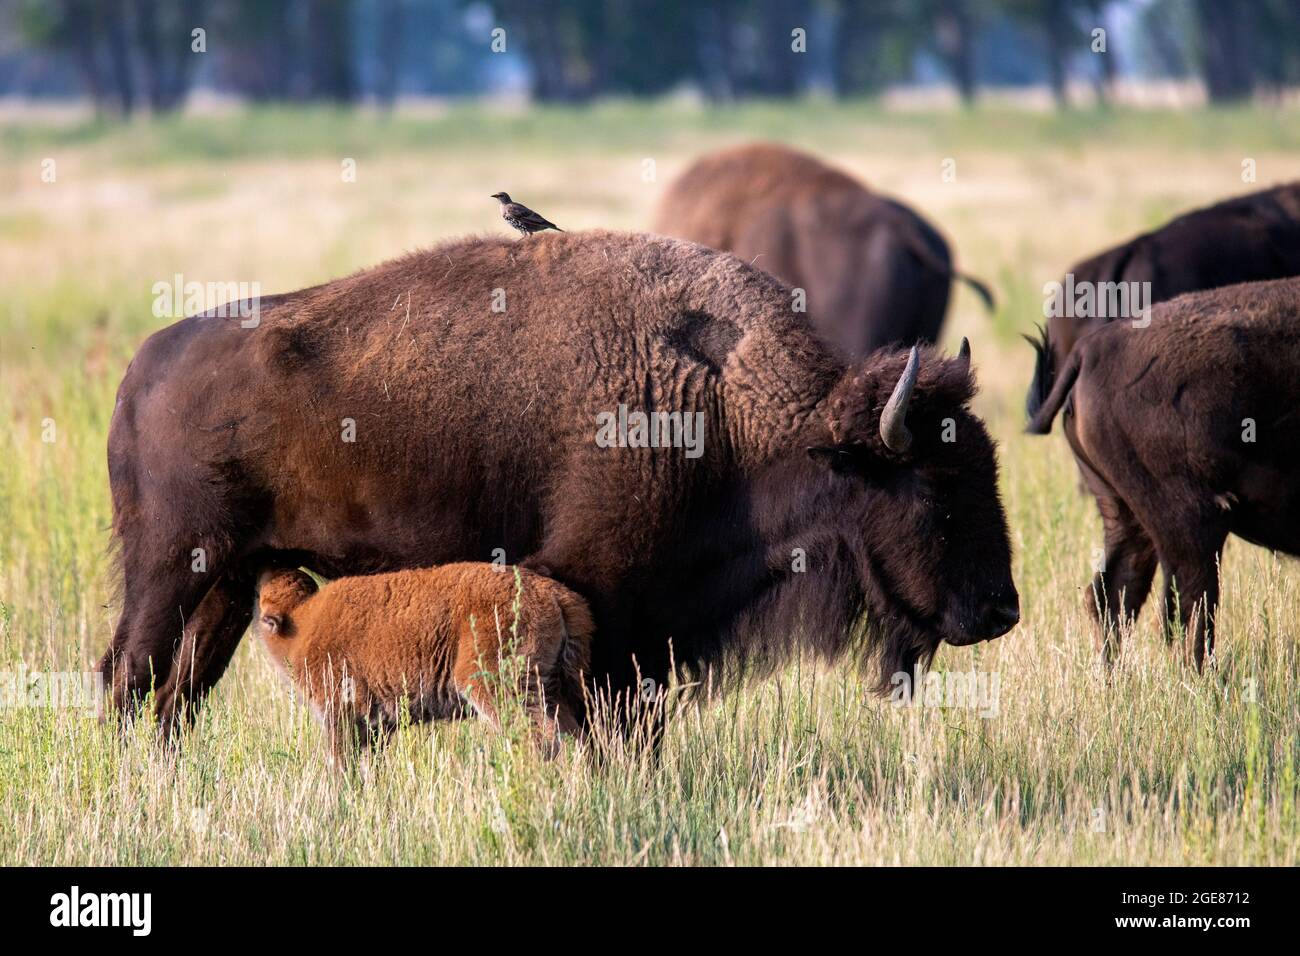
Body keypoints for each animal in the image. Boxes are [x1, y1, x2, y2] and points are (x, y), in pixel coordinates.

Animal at [101, 230, 1019, 733]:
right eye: (933, 489)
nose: (1002, 611)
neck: (726, 405)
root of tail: (142, 369)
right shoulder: (603, 604)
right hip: (169, 567)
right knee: (127, 677)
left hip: (228, 579)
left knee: (178, 695)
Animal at [249, 561, 595, 764]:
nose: (265, 569)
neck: (303, 620)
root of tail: (555, 594)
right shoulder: (377, 726)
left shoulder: (341, 716)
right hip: (552, 692)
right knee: (575, 738)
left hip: (499, 688)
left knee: (544, 740)